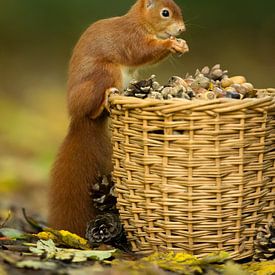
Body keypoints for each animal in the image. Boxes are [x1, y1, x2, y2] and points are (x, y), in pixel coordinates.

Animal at [48, 0, 189, 237]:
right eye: (165, 13)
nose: (181, 30)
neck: (140, 23)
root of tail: (78, 117)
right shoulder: (129, 39)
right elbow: (142, 52)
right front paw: (172, 44)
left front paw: (181, 44)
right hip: (105, 73)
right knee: (95, 107)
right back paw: (106, 98)